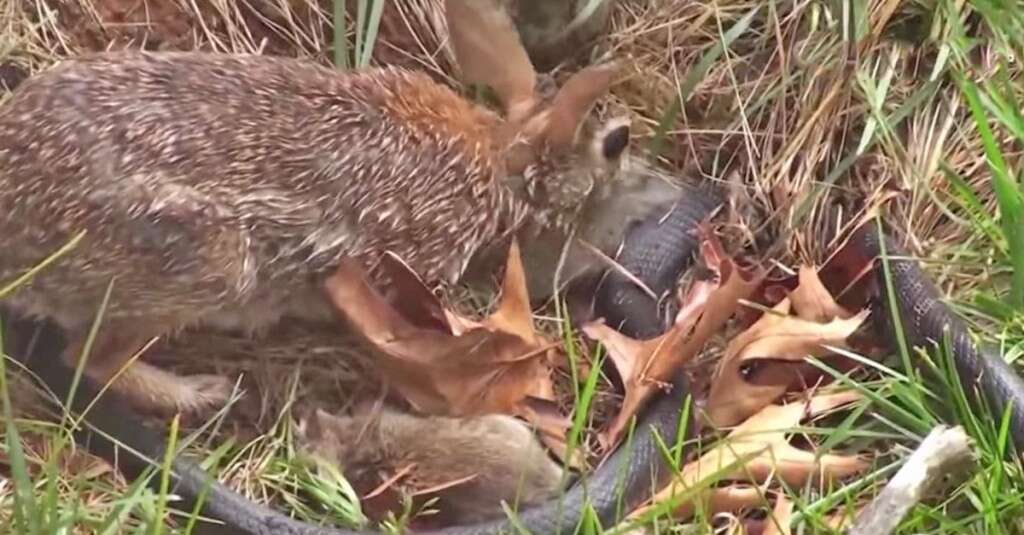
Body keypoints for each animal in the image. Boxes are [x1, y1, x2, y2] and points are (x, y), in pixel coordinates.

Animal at [0, 0, 671, 416]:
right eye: (616, 146)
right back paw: (201, 394)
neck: (498, 170)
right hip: (204, 264)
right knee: (90, 359)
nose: (664, 197)